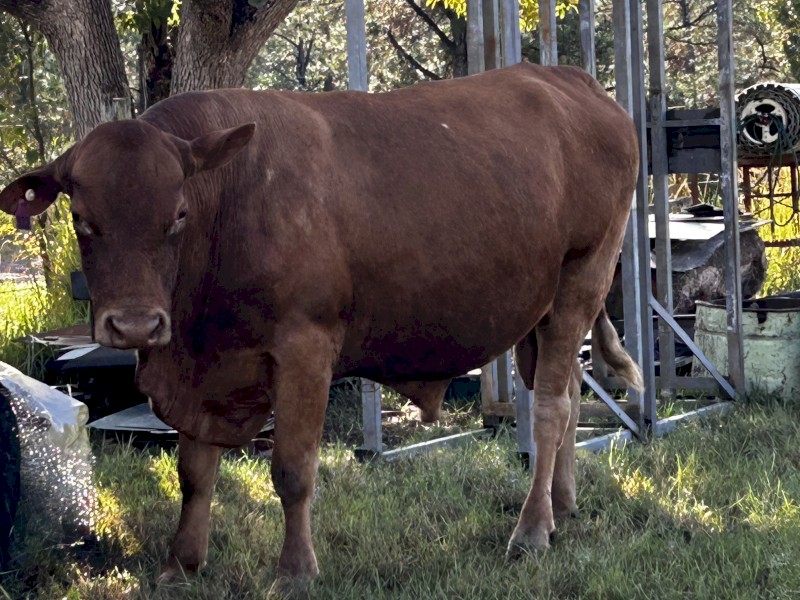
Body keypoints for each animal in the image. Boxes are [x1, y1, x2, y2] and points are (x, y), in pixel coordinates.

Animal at [0, 62, 641, 584]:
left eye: (177, 215)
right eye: (83, 220)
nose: (135, 326)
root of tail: (570, 80)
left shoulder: (304, 347)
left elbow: (291, 469)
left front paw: (295, 571)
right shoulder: (204, 370)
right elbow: (194, 470)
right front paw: (180, 565)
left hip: (582, 277)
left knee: (552, 407)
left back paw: (531, 530)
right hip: (540, 310)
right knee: (566, 392)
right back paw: (562, 506)